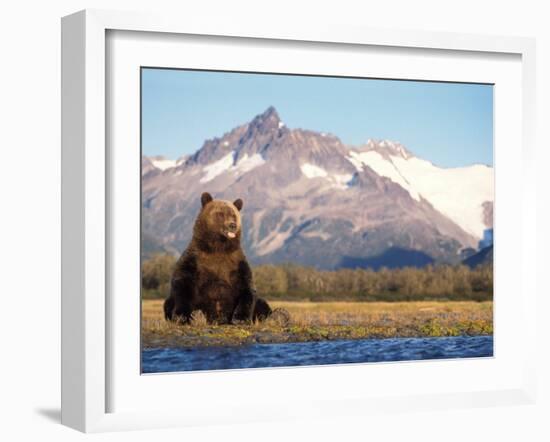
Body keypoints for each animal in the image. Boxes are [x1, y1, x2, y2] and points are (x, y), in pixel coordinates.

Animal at [164, 192, 276, 322]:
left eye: (233, 215)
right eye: (221, 214)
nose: (232, 225)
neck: (218, 247)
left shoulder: (236, 263)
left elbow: (247, 288)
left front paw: (240, 318)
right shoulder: (195, 259)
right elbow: (182, 283)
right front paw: (181, 316)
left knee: (262, 303)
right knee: (168, 302)